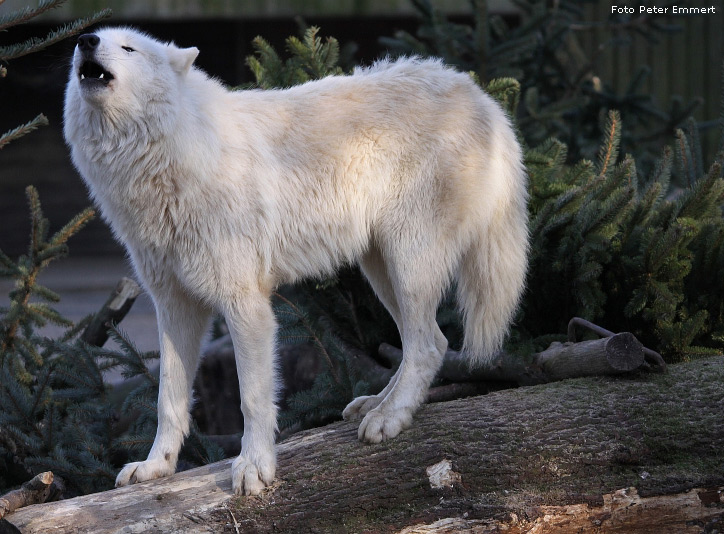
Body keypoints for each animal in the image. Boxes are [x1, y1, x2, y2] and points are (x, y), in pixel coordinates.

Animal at [63, 27, 528, 496]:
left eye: (129, 49)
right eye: (95, 41)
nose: (86, 40)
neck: (172, 155)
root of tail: (478, 94)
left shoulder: (246, 304)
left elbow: (252, 398)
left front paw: (254, 466)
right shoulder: (174, 306)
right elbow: (168, 399)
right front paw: (156, 466)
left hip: (408, 263)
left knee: (429, 344)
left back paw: (390, 417)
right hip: (381, 271)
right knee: (429, 342)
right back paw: (378, 404)